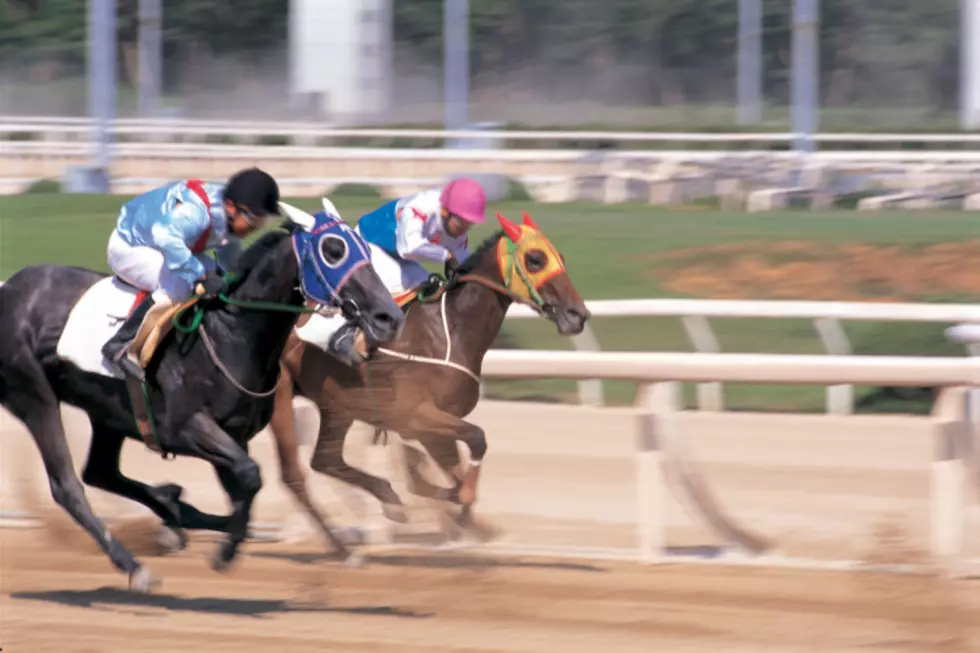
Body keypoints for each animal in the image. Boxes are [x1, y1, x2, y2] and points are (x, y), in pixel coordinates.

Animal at [0, 201, 402, 588]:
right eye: (333, 250)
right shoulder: (184, 427)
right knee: (67, 486)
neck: (231, 334)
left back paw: (170, 510)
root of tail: (8, 288)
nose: (389, 317)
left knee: (100, 472)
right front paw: (224, 550)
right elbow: (250, 475)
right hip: (34, 396)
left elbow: (244, 487)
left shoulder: (233, 434)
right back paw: (136, 566)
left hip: (107, 413)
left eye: (365, 247)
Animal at [268, 210, 588, 544]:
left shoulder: (434, 425)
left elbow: (456, 478)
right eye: (535, 259)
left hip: (337, 405)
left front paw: (450, 504)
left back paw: (387, 500)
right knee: (294, 475)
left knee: (325, 461)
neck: (452, 330)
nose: (578, 315)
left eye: (560, 257)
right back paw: (339, 544)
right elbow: (476, 441)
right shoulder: (415, 415)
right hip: (280, 394)